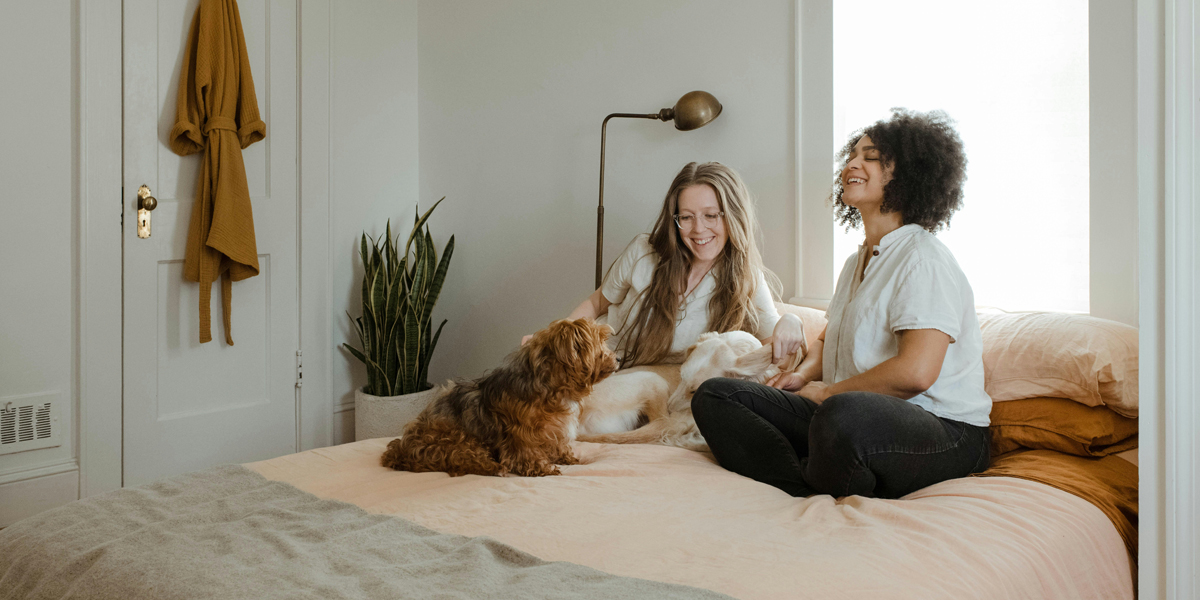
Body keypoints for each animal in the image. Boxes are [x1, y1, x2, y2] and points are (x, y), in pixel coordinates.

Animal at [379, 319, 619, 477]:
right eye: (599, 342)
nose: (618, 358)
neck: (551, 387)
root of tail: (401, 450)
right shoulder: (520, 432)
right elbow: (526, 450)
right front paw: (540, 467)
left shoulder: (555, 428)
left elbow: (558, 444)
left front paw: (567, 458)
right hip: (455, 439)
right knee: (463, 461)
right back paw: (494, 467)